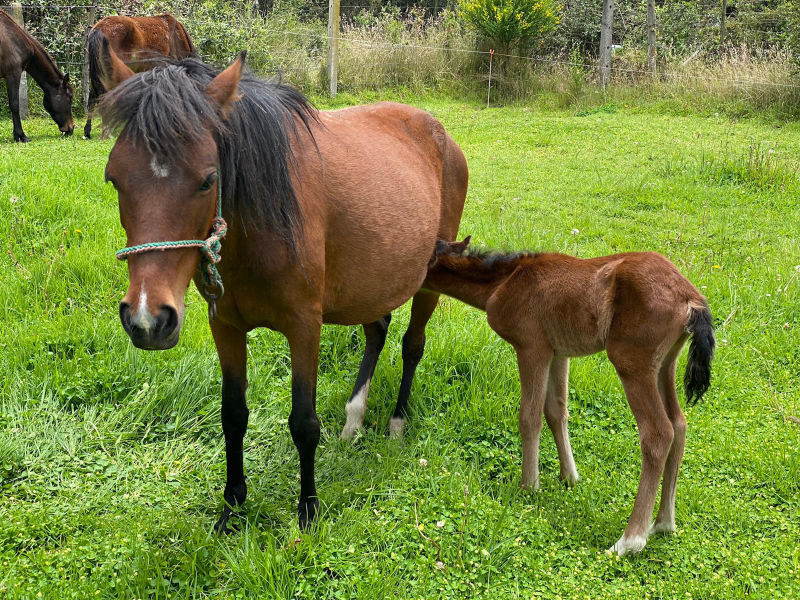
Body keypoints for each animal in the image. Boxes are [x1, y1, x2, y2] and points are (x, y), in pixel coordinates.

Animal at [98, 54, 468, 532]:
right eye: (114, 179)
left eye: (208, 180)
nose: (148, 320)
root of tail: (439, 132)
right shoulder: (226, 326)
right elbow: (233, 416)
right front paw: (232, 506)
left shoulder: (305, 326)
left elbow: (304, 423)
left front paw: (308, 509)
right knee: (378, 331)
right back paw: (354, 419)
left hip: (428, 279)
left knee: (412, 345)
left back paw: (397, 422)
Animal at [422, 237, 716, 556]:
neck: (505, 280)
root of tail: (690, 298)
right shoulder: (559, 353)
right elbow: (556, 412)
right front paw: (569, 477)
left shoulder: (532, 348)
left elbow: (529, 418)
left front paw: (529, 486)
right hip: (665, 364)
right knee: (679, 424)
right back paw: (663, 523)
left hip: (632, 363)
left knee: (658, 433)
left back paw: (630, 540)